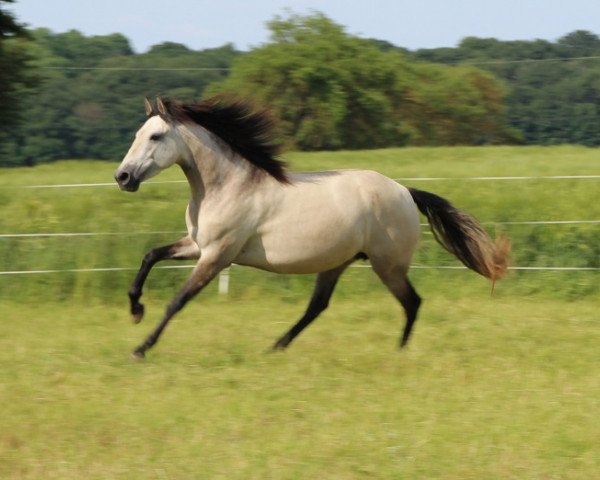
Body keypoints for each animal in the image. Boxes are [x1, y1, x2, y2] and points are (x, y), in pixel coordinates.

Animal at [115, 95, 508, 358]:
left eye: (155, 137)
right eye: (136, 134)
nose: (123, 177)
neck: (228, 187)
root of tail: (405, 192)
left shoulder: (217, 256)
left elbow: (177, 301)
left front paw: (140, 347)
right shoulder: (197, 245)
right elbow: (150, 256)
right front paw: (135, 310)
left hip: (388, 265)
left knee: (412, 302)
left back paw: (398, 351)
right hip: (337, 262)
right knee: (317, 307)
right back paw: (276, 347)